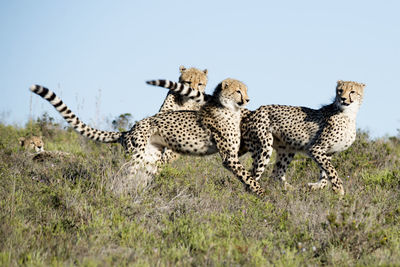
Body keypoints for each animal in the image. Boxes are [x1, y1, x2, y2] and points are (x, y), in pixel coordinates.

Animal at [29, 79, 264, 197]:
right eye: (238, 91)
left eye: (245, 91)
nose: (247, 99)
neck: (227, 108)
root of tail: (129, 130)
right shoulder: (229, 157)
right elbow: (248, 176)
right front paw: (262, 194)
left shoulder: (236, 151)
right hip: (136, 158)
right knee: (120, 177)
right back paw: (115, 195)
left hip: (150, 162)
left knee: (137, 180)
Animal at [149, 79, 366, 195]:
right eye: (340, 90)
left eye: (353, 91)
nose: (343, 98)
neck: (348, 113)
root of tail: (252, 110)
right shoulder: (316, 149)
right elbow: (332, 172)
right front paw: (339, 191)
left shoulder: (326, 153)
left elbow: (325, 173)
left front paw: (317, 186)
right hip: (264, 145)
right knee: (253, 176)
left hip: (285, 150)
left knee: (276, 175)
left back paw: (289, 191)